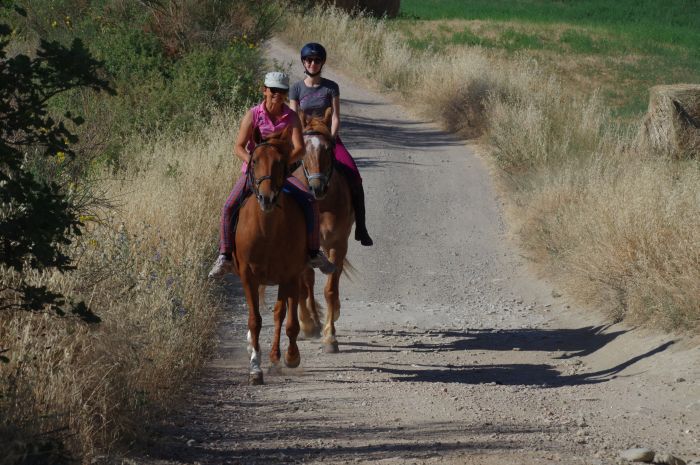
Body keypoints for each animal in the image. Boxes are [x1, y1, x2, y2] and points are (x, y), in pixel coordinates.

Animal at [234, 128, 304, 384]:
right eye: (254, 161)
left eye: (280, 163)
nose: (267, 198)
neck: (267, 231)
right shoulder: (247, 276)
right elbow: (255, 320)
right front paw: (255, 367)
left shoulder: (290, 275)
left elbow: (286, 319)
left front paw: (290, 357)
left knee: (281, 314)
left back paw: (278, 356)